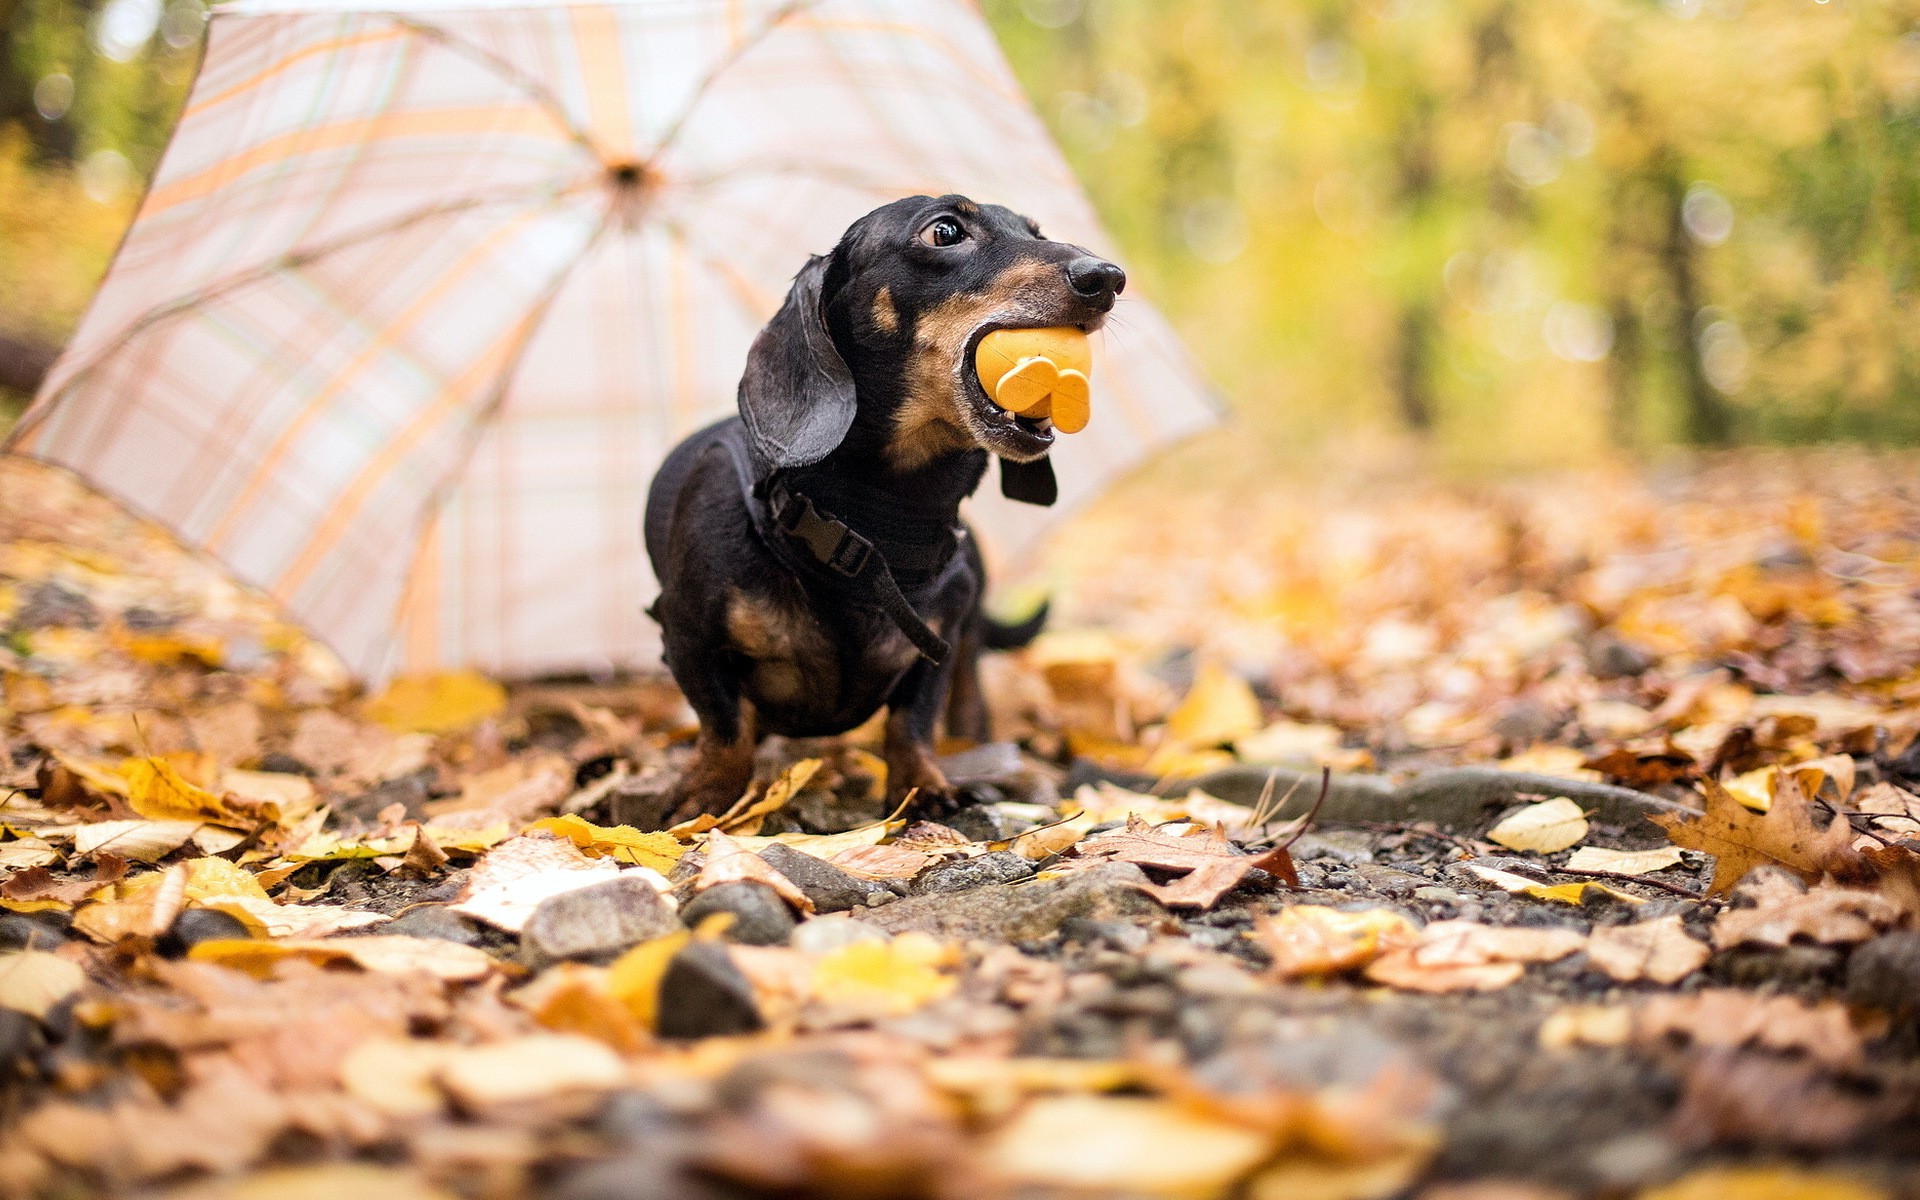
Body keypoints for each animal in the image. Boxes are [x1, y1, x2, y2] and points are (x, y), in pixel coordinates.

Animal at [645, 193, 1121, 821]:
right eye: (945, 231)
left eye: (1035, 231)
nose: (1107, 277)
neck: (878, 522)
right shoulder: (686, 635)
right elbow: (726, 725)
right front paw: (707, 796)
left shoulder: (937, 644)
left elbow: (911, 723)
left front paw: (922, 787)